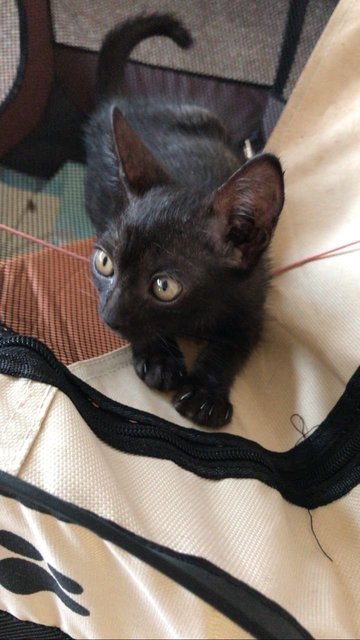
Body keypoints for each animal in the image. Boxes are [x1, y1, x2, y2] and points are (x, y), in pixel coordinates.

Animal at [84, 13, 284, 424]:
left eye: (164, 286)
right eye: (104, 263)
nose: (109, 317)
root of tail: (121, 100)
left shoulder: (254, 296)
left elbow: (235, 343)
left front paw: (206, 392)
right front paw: (159, 355)